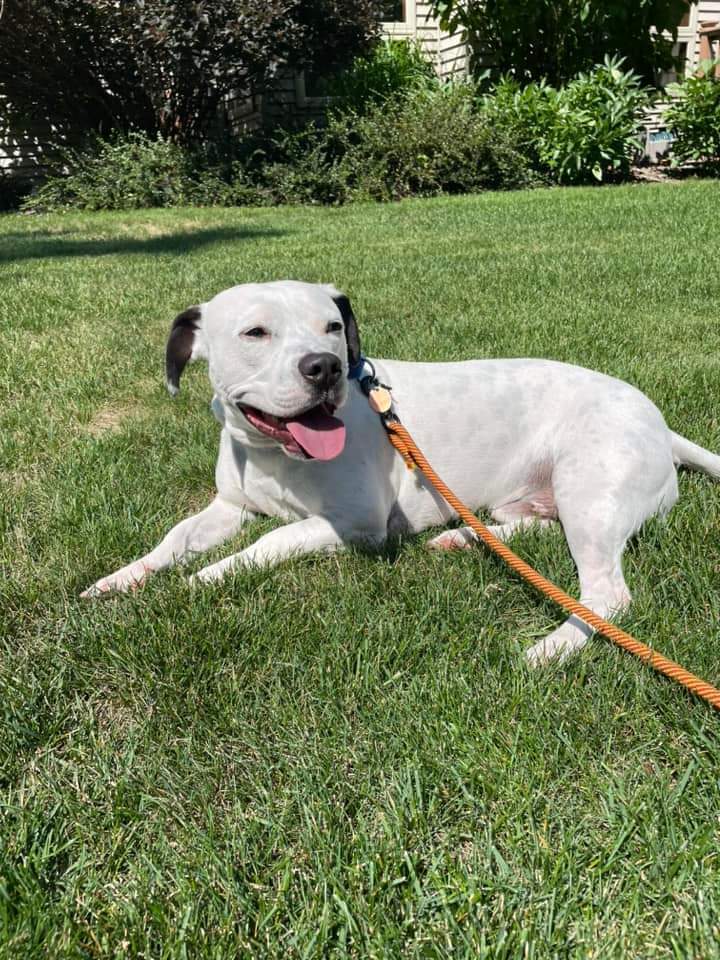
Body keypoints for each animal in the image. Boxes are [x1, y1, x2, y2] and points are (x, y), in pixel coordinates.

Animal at [83, 282, 720, 664]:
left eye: (331, 326)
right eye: (255, 332)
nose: (325, 367)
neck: (275, 455)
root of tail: (661, 423)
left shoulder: (355, 524)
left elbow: (268, 542)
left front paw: (206, 578)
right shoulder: (230, 507)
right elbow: (174, 539)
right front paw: (121, 580)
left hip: (589, 491)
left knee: (606, 595)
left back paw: (549, 649)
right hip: (543, 499)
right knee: (533, 527)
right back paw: (462, 539)